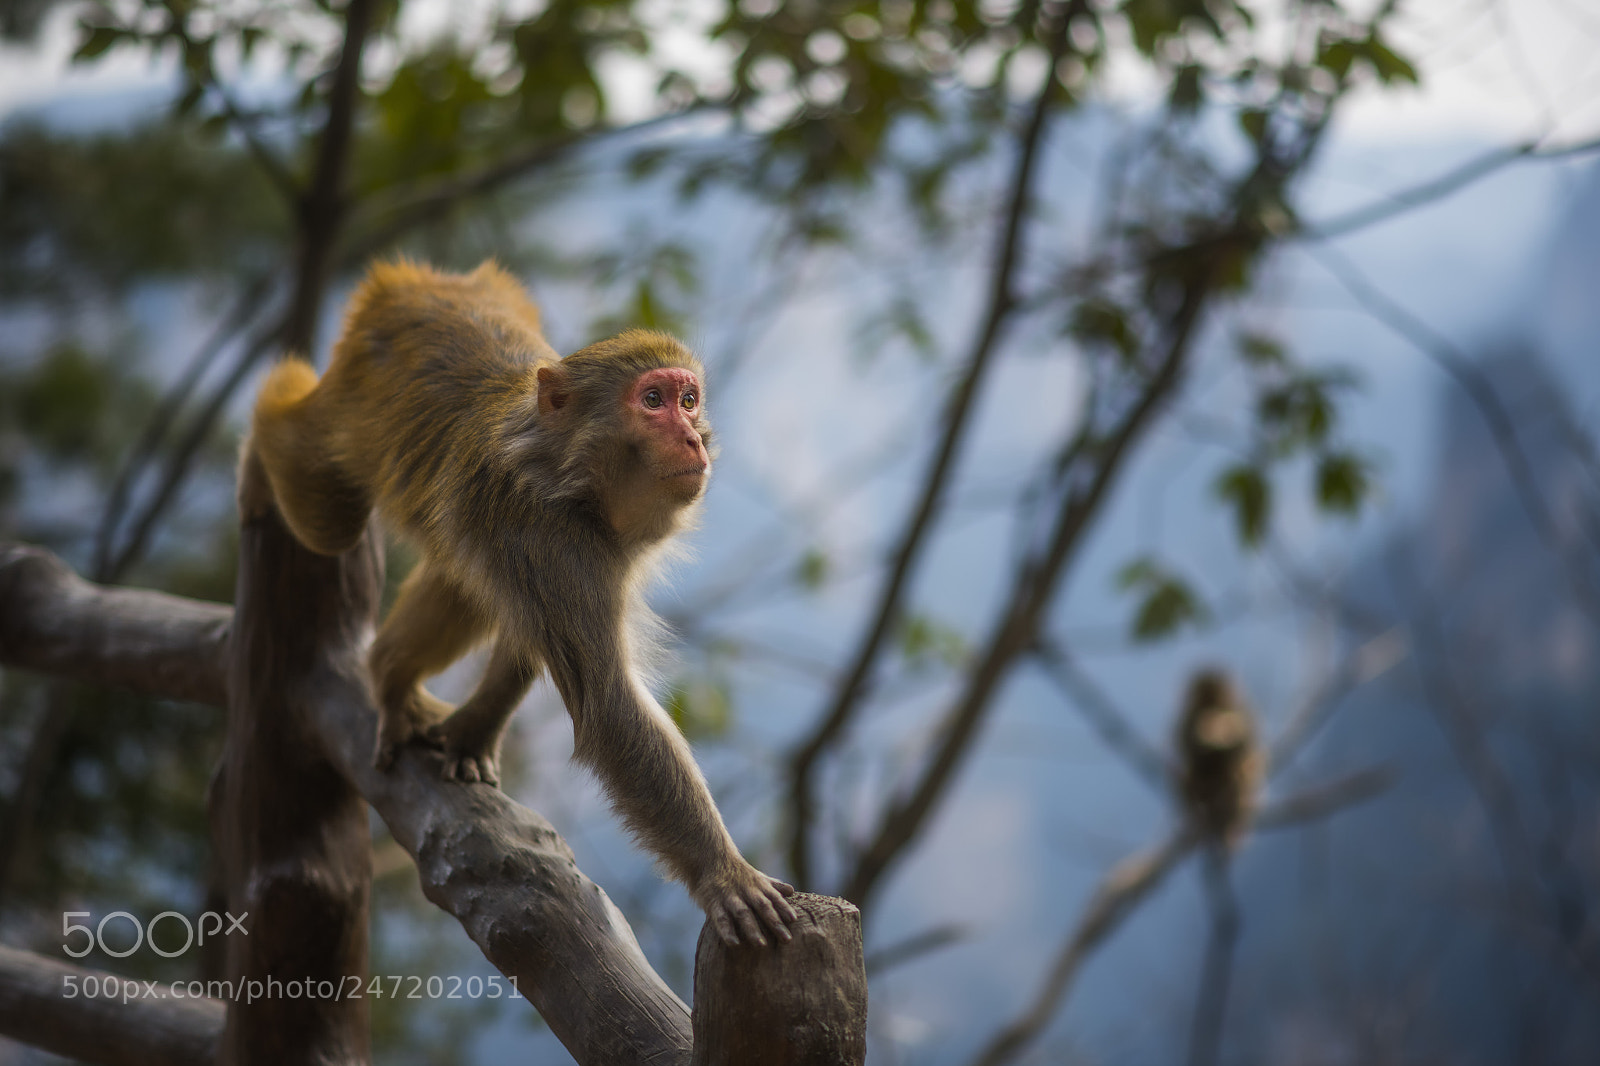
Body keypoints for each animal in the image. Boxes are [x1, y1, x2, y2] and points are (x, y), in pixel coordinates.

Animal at [248, 259, 797, 946]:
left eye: (689, 399)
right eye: (653, 401)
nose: (694, 440)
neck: (572, 477)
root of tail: (410, 280)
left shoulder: (547, 552)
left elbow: (528, 632)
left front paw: (473, 733)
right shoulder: (550, 540)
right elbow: (612, 708)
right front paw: (725, 875)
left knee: (464, 579)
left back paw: (389, 673)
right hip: (349, 402)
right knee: (329, 517)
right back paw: (267, 434)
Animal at [1173, 668, 1264, 849]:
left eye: (1218, 703)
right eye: (1204, 703)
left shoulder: (1243, 715)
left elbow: (1245, 745)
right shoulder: (1187, 719)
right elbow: (1187, 744)